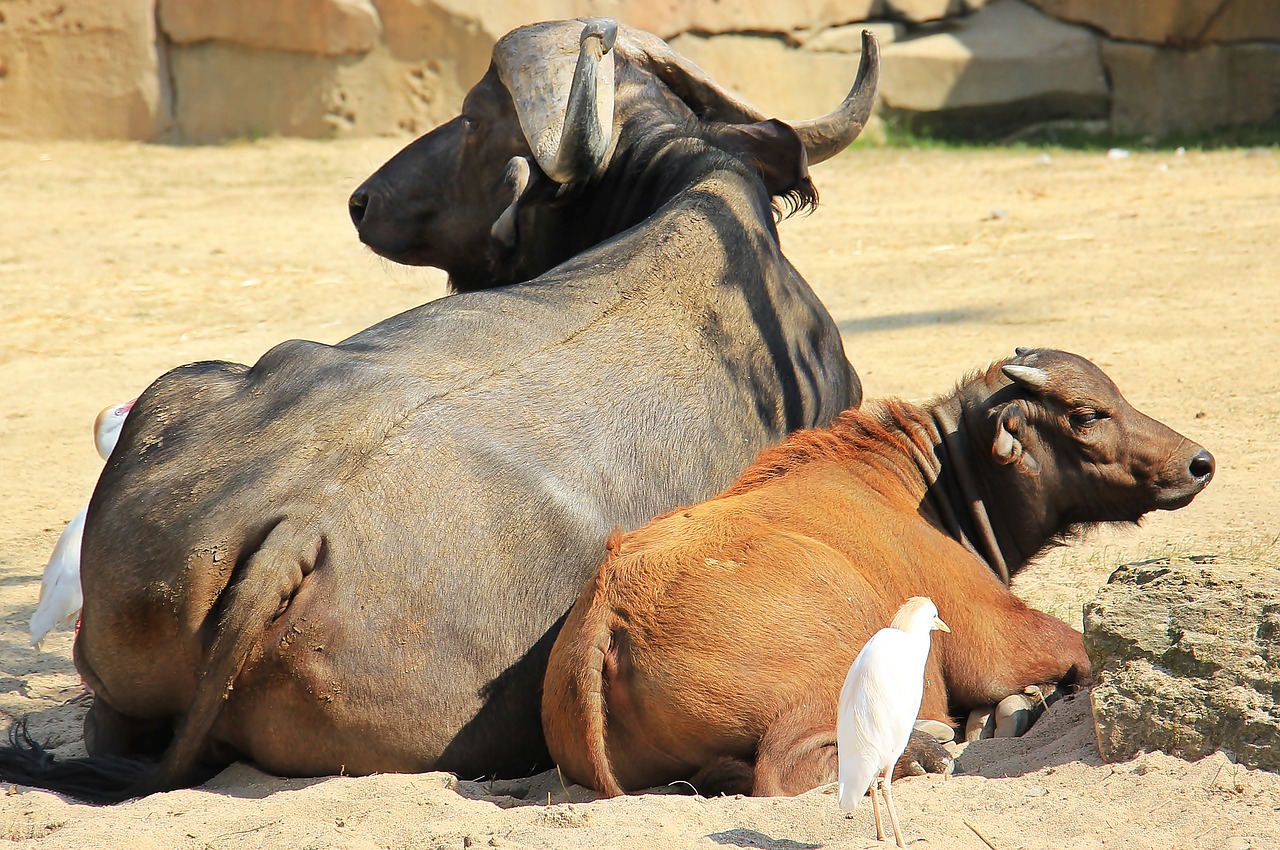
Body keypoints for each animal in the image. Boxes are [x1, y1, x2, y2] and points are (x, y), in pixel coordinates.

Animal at [540, 348, 1208, 798]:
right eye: (1088, 413)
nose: (1198, 462)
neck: (925, 488)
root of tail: (611, 612)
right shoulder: (997, 637)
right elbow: (1075, 648)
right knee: (784, 770)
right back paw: (923, 752)